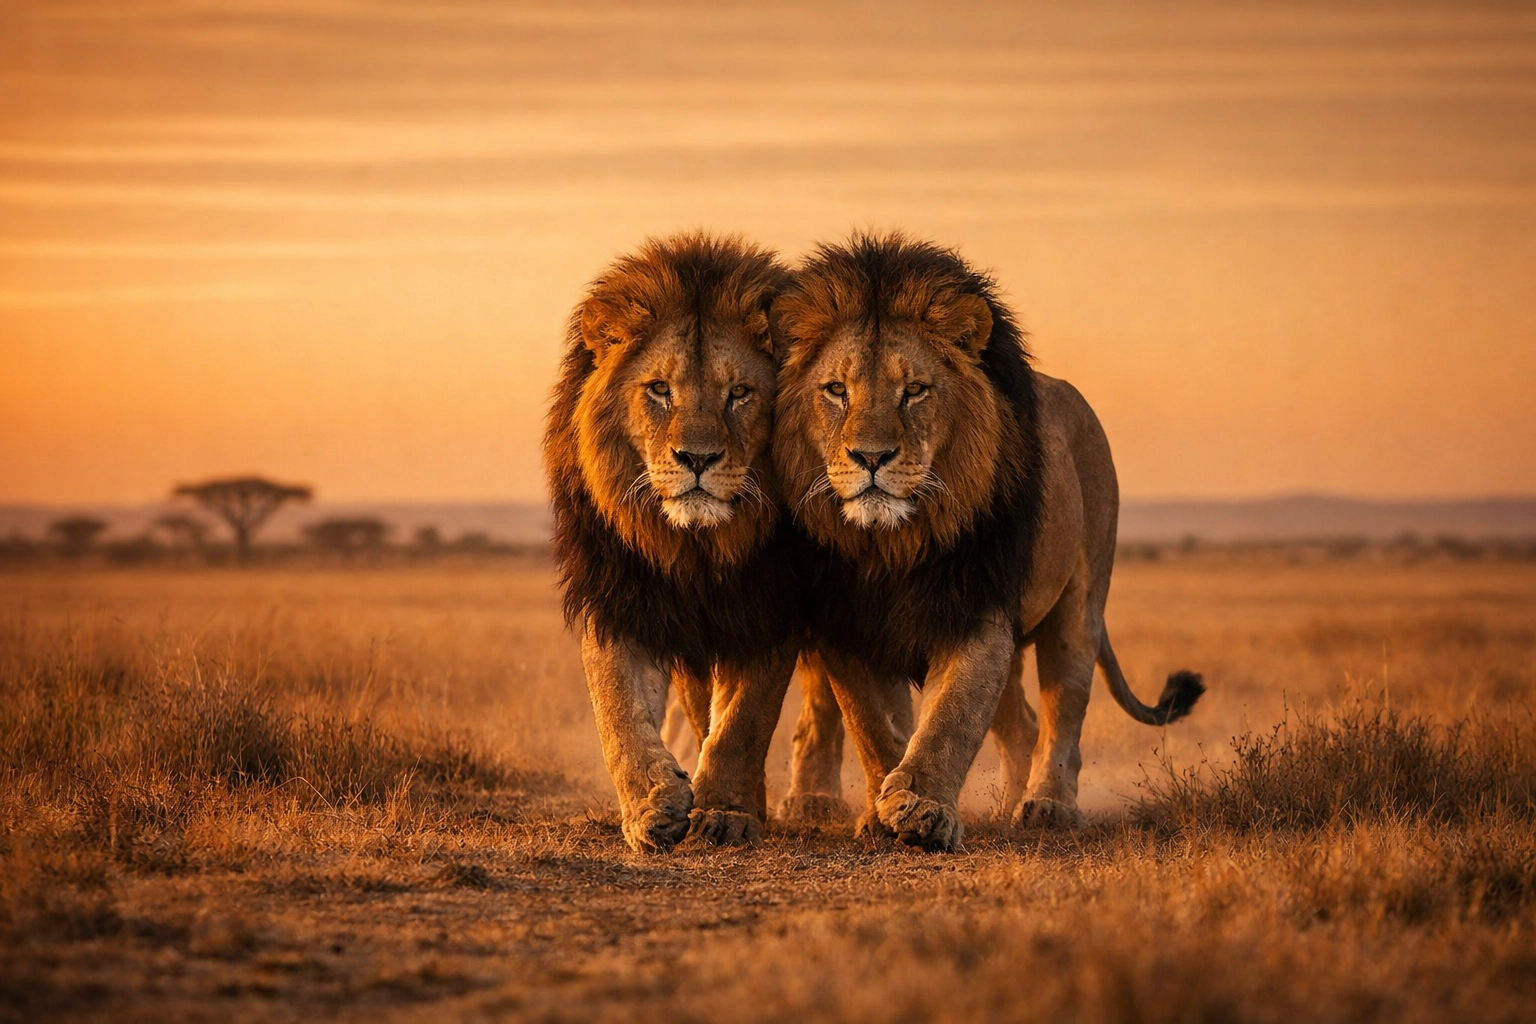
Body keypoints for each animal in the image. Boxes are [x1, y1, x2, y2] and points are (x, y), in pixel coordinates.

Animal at [544, 233, 802, 854]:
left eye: (740, 394)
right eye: (660, 389)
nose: (697, 459)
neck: (696, 548)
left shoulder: (771, 603)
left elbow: (745, 719)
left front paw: (728, 811)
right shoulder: (623, 594)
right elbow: (618, 708)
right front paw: (653, 804)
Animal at [771, 233, 1203, 850]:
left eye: (914, 391)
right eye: (836, 391)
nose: (871, 457)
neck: (893, 544)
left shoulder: (977, 605)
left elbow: (952, 717)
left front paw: (923, 808)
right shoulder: (847, 623)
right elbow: (875, 723)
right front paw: (881, 810)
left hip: (1079, 606)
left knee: (1062, 712)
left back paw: (1047, 806)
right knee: (1019, 721)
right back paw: (1007, 803)